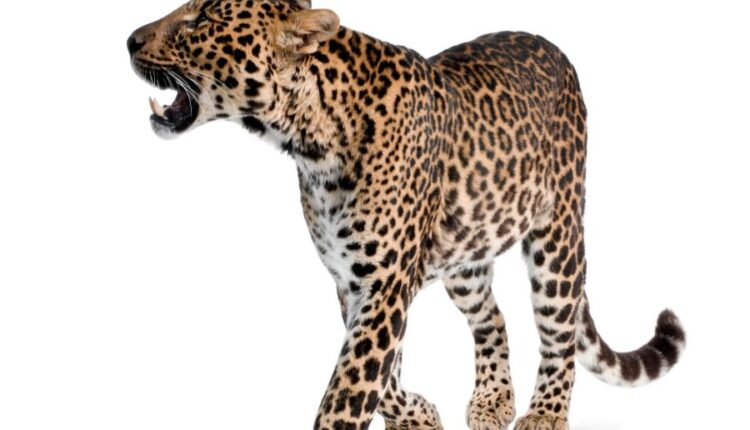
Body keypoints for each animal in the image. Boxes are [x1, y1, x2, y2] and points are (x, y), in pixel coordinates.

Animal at [127, 1, 686, 429]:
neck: (309, 141)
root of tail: (552, 46)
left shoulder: (386, 284)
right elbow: (381, 373)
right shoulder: (352, 281)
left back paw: (544, 413)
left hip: (559, 235)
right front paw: (415, 415)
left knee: (560, 330)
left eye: (199, 20)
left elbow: (351, 387)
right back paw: (493, 400)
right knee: (494, 318)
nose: (130, 40)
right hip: (466, 256)